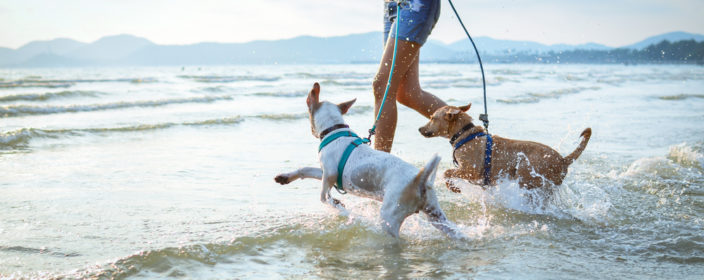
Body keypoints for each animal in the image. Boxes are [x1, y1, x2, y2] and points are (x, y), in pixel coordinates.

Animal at [274, 82, 462, 238]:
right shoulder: (325, 172)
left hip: (390, 217)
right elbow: (306, 170)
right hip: (436, 216)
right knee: (454, 231)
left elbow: (323, 196)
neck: (334, 129)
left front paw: (339, 206)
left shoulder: (330, 174)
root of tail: (420, 180)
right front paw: (285, 177)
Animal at [420, 104, 592, 191]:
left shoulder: (471, 171)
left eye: (432, 118)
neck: (465, 134)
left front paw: (453, 187)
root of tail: (563, 160)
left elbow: (447, 172)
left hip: (527, 176)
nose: (419, 129)